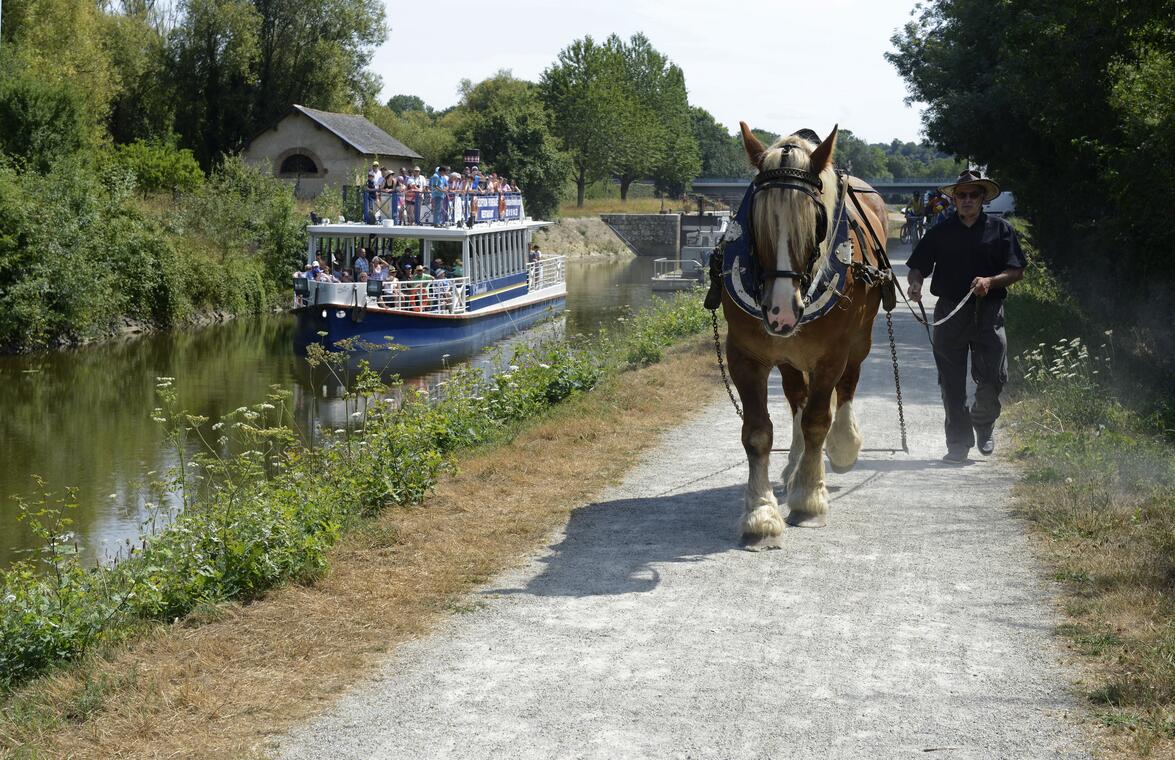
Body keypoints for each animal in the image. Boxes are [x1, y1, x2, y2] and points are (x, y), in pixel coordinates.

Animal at [719, 122, 883, 549]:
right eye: (756, 220)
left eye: (815, 221)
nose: (781, 310)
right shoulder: (746, 354)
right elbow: (758, 432)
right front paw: (760, 516)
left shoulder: (831, 355)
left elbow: (816, 422)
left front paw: (810, 500)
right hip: (788, 353)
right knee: (796, 396)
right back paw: (793, 465)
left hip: (860, 339)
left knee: (846, 386)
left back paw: (842, 447)